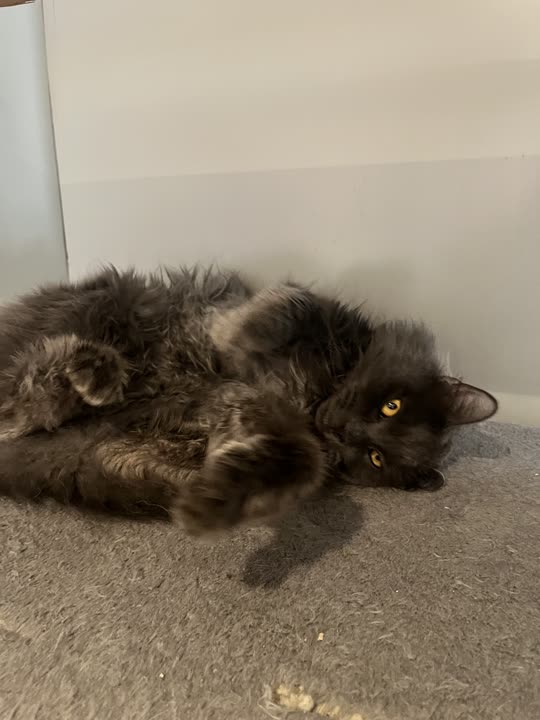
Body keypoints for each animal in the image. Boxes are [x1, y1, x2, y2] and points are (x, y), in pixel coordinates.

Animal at [0, 266, 497, 534]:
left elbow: (295, 462)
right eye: (390, 406)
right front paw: (229, 337)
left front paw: (215, 500)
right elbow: (283, 308)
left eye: (375, 458)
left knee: (20, 410)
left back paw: (92, 376)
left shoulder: (260, 421)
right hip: (108, 303)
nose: (346, 431)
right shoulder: (301, 305)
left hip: (102, 460)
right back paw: (99, 370)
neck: (316, 393)